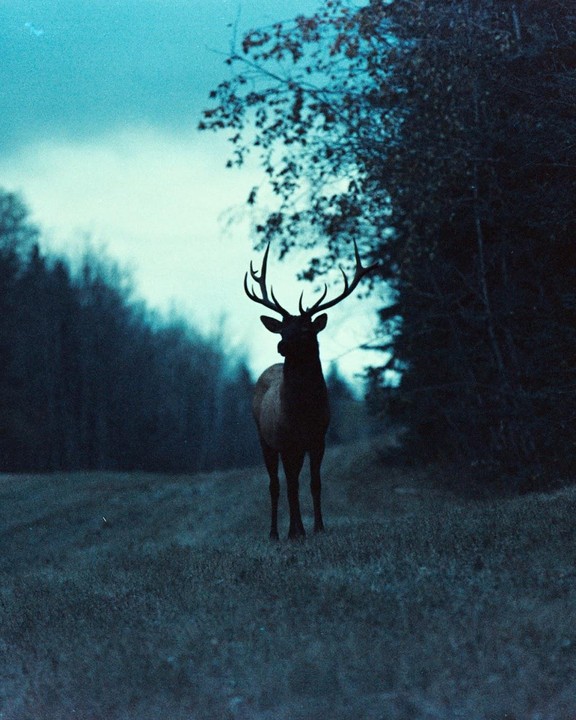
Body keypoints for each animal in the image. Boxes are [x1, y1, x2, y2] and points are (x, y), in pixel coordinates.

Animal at [245, 241, 377, 539]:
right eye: (282, 330)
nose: (281, 346)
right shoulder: (286, 441)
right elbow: (291, 486)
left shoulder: (318, 438)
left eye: (306, 330)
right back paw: (275, 533)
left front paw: (318, 527)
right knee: (276, 485)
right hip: (263, 438)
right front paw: (297, 532)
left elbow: (315, 482)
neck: (303, 412)